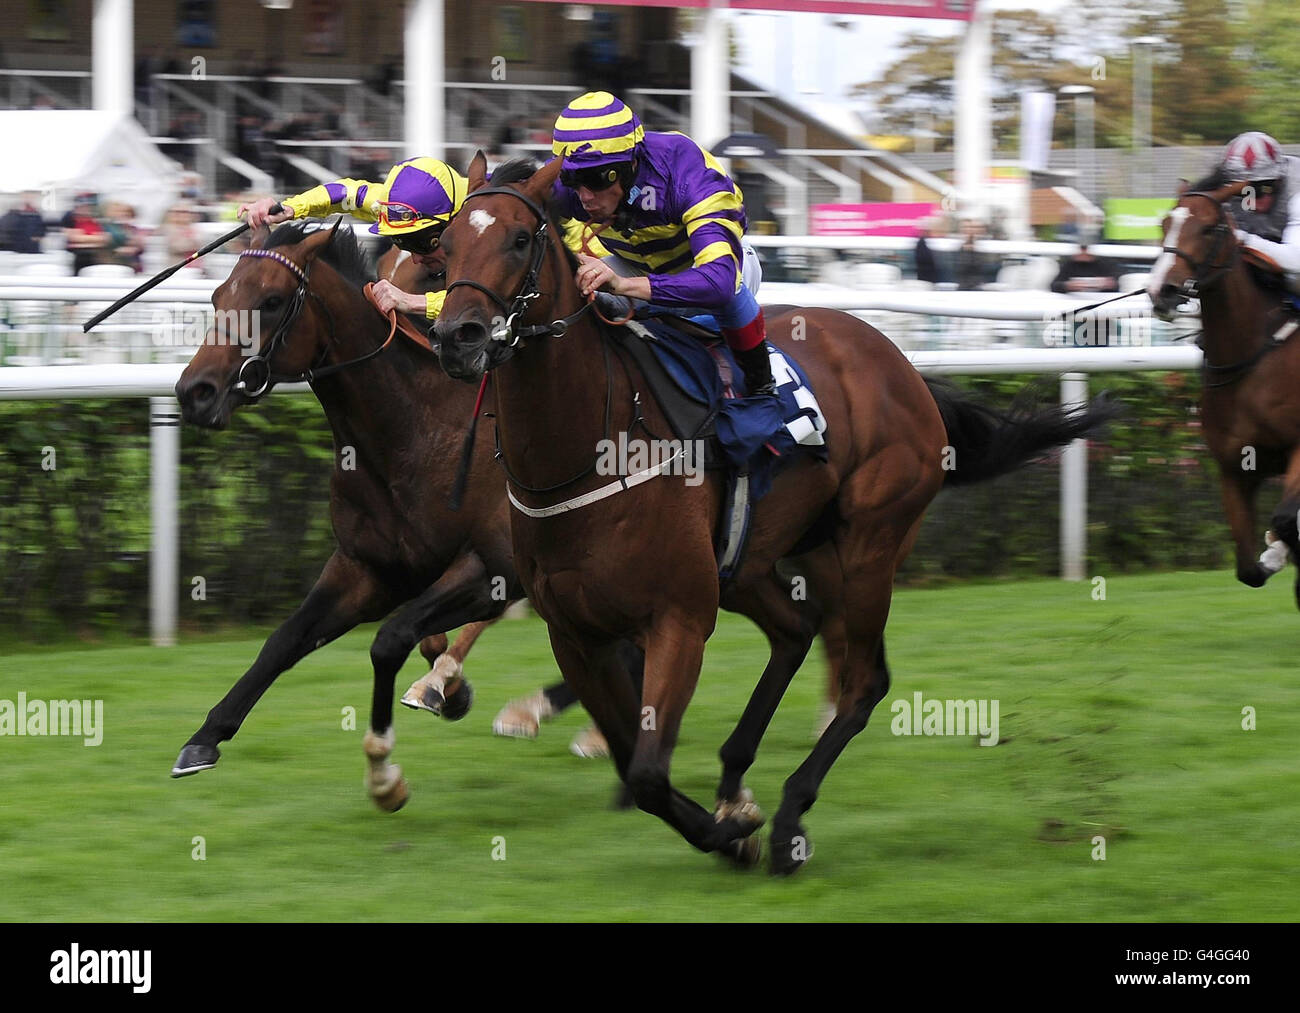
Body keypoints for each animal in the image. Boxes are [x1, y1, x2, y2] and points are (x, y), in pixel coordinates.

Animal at [434, 154, 1118, 873]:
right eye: (444, 245)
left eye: (518, 239)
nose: (457, 337)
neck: (590, 444)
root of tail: (900, 365)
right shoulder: (575, 633)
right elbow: (631, 762)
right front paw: (728, 820)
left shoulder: (679, 616)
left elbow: (647, 771)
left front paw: (736, 836)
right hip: (761, 558)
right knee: (797, 632)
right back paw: (736, 779)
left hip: (870, 544)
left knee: (863, 679)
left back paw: (790, 815)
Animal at [1149, 184, 1300, 603]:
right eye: (1164, 223)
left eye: (1209, 228)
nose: (1161, 290)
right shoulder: (1234, 467)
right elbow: (1248, 570)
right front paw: (1271, 556)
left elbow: (1285, 519)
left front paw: (1276, 549)